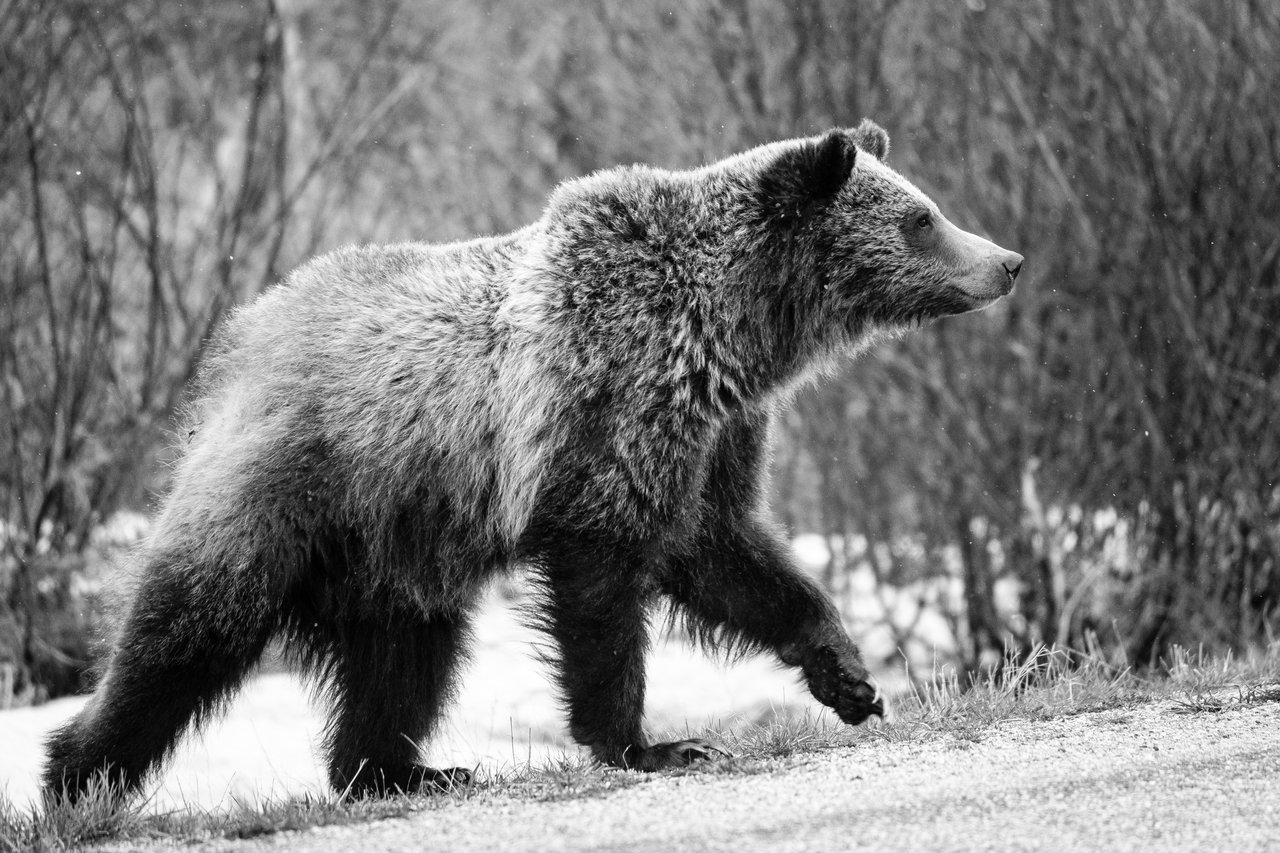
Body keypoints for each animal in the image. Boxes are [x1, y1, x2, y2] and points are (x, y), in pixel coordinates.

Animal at [44, 120, 1022, 802]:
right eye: (923, 217)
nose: (1007, 259)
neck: (730, 335)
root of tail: (240, 337)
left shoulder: (715, 433)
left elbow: (729, 552)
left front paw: (850, 677)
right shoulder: (604, 418)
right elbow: (603, 593)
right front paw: (652, 743)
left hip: (399, 549)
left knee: (404, 662)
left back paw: (400, 770)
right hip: (298, 483)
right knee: (187, 629)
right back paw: (76, 777)